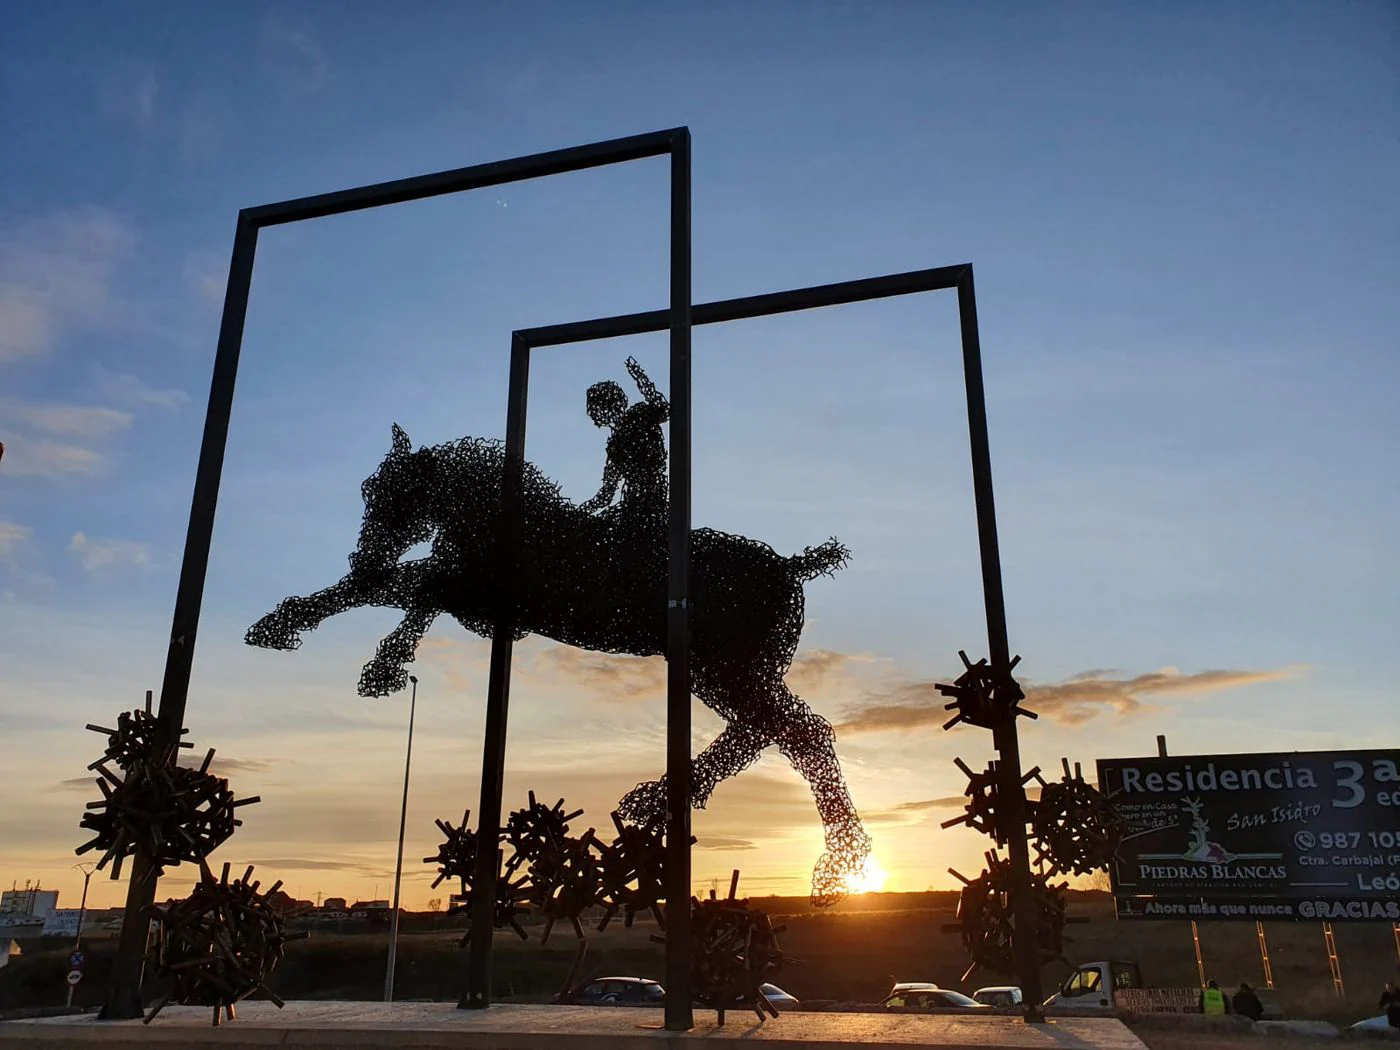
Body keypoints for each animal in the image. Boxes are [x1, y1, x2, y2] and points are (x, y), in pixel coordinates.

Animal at [246, 422, 868, 901]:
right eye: (367, 488)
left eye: (398, 493)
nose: (365, 553)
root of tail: (791, 565)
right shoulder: (473, 597)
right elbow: (387, 588)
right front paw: (282, 626)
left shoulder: (474, 591)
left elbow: (411, 589)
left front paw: (381, 665)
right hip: (725, 669)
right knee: (782, 729)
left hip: (721, 666)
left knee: (795, 730)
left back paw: (827, 862)